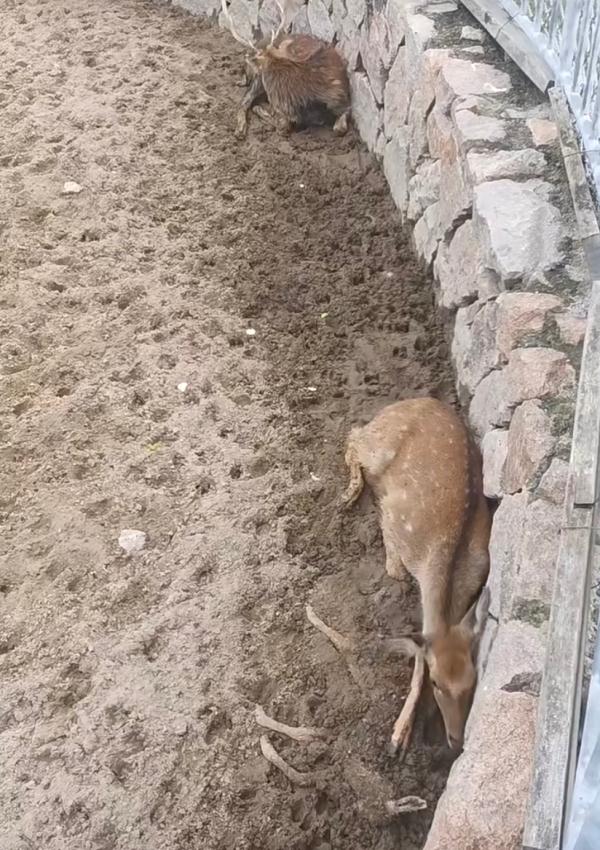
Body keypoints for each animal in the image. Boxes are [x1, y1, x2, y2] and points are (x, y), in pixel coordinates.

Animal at [221, 0, 351, 140]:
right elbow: (280, 125)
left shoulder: (342, 101)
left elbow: (339, 128)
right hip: (258, 82)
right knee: (244, 102)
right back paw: (240, 130)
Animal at [342, 397, 491, 755]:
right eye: (436, 683)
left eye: (472, 681)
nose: (456, 740)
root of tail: (414, 400)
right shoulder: (396, 528)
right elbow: (394, 572)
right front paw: (397, 736)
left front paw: (401, 734)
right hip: (378, 444)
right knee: (353, 434)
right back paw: (351, 493)